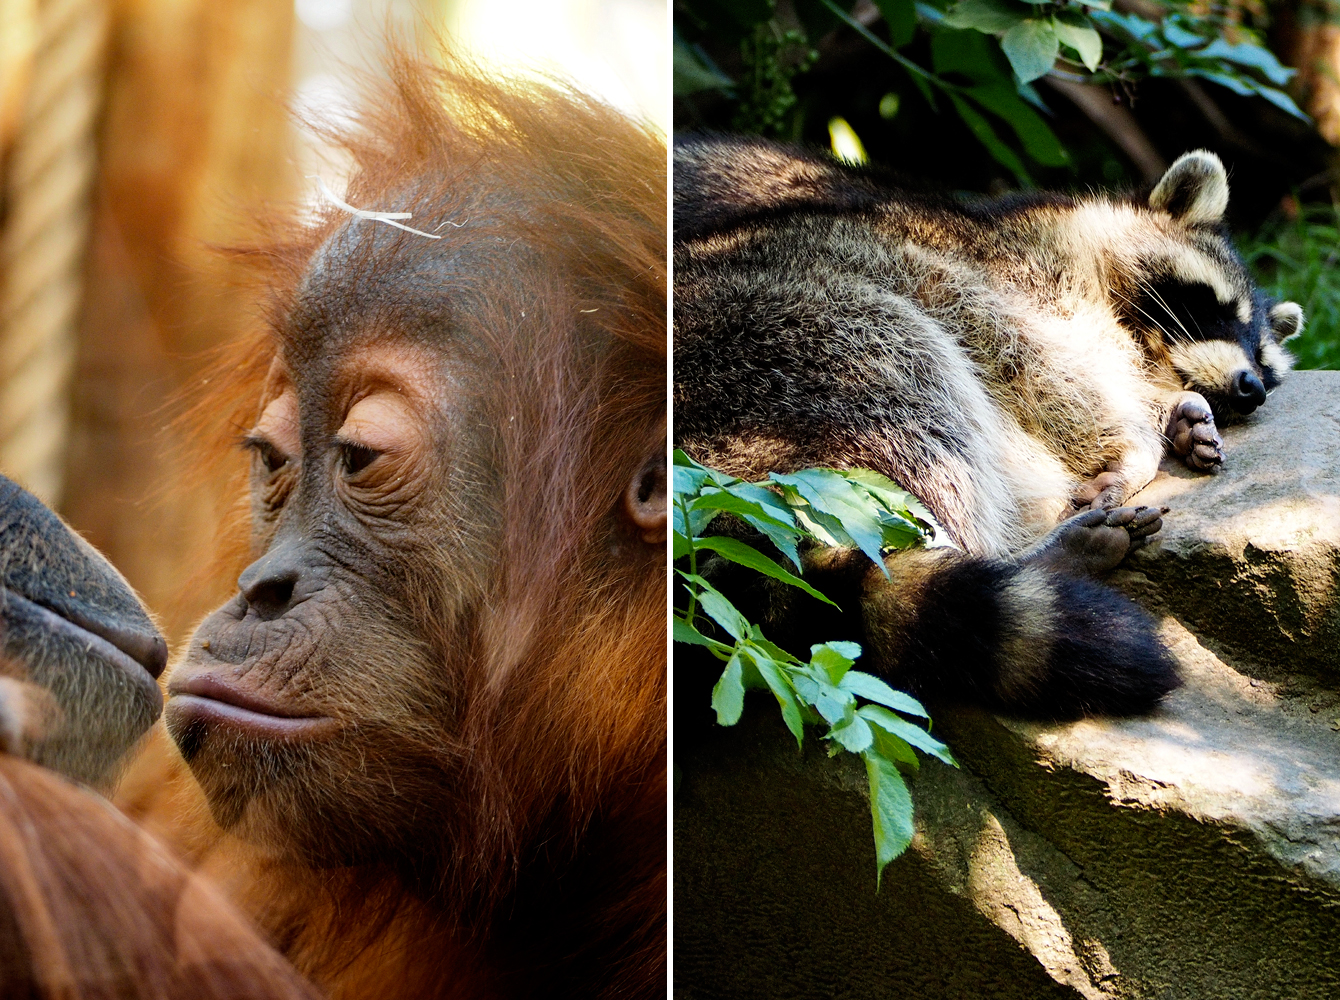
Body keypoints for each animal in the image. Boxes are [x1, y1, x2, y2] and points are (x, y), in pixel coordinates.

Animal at [675, 138, 1302, 718]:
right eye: (1218, 309)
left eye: (1264, 359)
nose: (1250, 386)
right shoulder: (988, 275)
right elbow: (1030, 359)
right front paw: (1133, 442)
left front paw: (1172, 413)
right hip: (804, 353)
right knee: (916, 389)